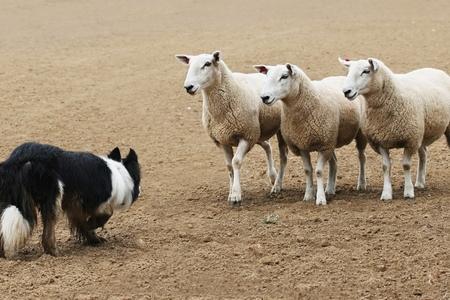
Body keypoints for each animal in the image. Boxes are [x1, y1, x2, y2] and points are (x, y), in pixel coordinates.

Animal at [0, 142, 141, 258]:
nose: (140, 190)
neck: (117, 172)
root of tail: (18, 160)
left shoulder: (74, 205)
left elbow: (82, 223)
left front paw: (94, 239)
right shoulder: (90, 201)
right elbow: (106, 214)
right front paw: (92, 226)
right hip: (54, 196)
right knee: (48, 231)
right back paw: (54, 252)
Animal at [174, 51, 286, 206]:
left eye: (207, 64)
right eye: (189, 64)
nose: (188, 87)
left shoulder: (246, 136)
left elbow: (236, 162)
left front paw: (236, 194)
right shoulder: (223, 139)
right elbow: (229, 166)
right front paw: (231, 192)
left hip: (267, 131)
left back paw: (277, 183)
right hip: (257, 132)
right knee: (267, 146)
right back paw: (273, 176)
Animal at [255, 62, 368, 205]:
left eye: (284, 76)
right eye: (267, 75)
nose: (264, 97)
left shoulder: (324, 145)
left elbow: (319, 171)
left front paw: (320, 199)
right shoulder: (303, 144)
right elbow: (308, 170)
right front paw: (309, 195)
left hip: (357, 135)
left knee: (361, 157)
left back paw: (361, 184)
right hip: (331, 139)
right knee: (334, 163)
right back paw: (330, 189)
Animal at [340, 57, 450, 200]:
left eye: (366, 71)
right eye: (348, 71)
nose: (346, 91)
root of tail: (435, 69)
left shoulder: (410, 140)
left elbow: (406, 165)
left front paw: (408, 192)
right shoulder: (380, 141)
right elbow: (386, 167)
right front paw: (386, 193)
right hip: (421, 133)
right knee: (423, 154)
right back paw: (420, 182)